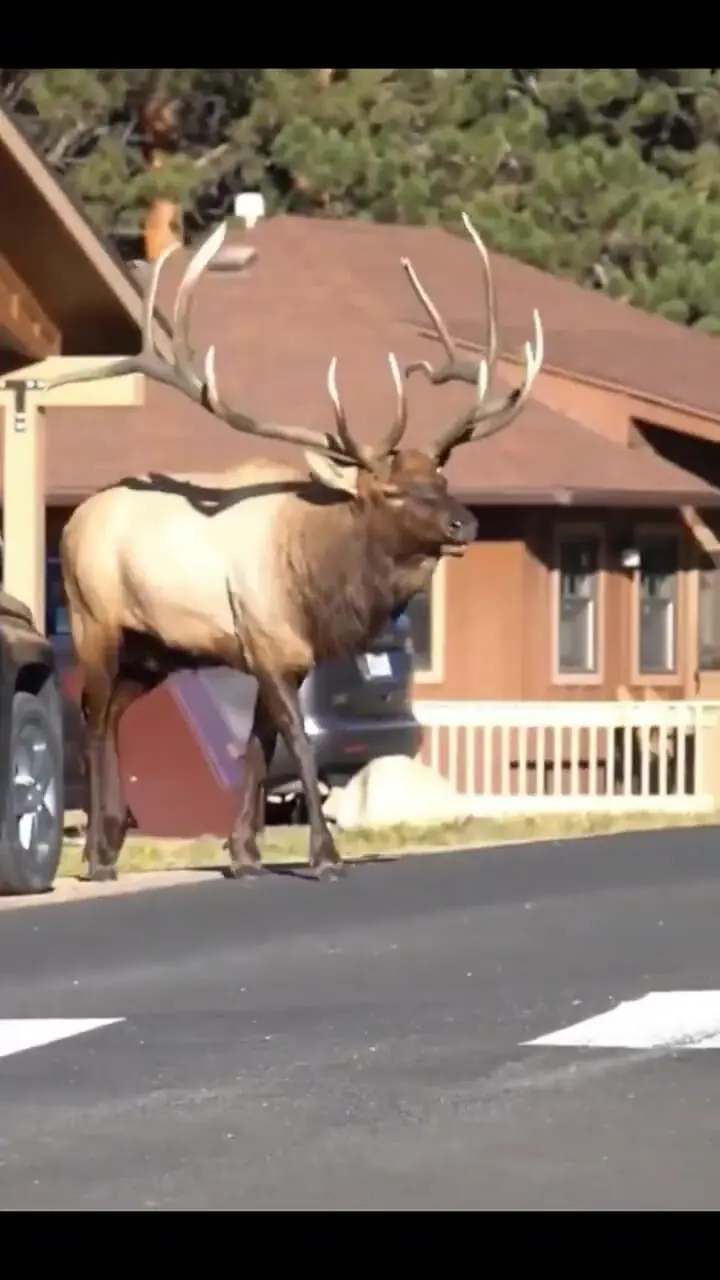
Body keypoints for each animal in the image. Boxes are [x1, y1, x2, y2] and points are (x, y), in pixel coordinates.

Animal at [41, 215, 540, 885]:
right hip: (95, 617)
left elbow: (259, 745)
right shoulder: (267, 645)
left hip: (157, 650)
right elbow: (298, 742)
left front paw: (244, 853)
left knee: (116, 712)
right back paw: (97, 855)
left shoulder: (280, 658)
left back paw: (115, 837)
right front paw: (325, 856)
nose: (466, 522)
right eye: (391, 490)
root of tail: (75, 520)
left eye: (440, 477)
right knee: (93, 717)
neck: (317, 585)